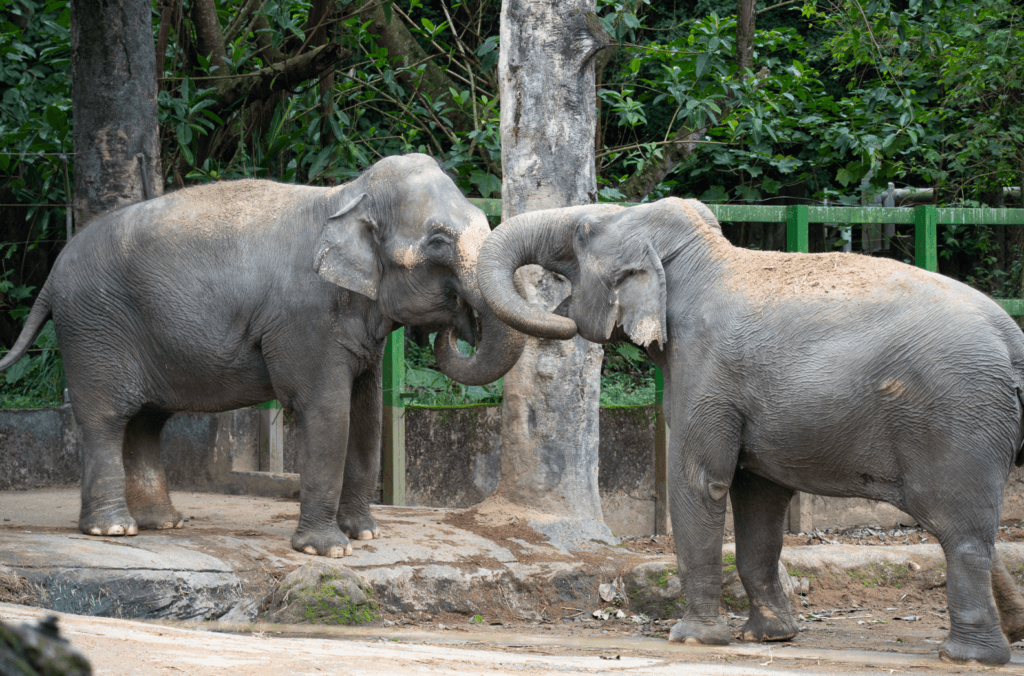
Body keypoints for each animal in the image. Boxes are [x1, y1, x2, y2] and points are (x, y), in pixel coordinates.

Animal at [0, 153, 524, 558]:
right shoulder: (304, 320)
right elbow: (328, 412)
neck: (344, 197)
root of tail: (50, 276)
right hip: (94, 331)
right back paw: (114, 529)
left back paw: (163, 523)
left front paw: (365, 535)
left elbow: (367, 413)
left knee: (147, 421)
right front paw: (327, 550)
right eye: (438, 241)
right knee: (107, 419)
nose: (459, 324)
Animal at [475, 197, 1024, 664]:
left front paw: (691, 638)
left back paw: (967, 656)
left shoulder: (705, 371)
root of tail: (1011, 337)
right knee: (963, 525)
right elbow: (759, 498)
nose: (558, 321)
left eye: (583, 233)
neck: (702, 258)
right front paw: (770, 636)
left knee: (955, 526)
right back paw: (1009, 631)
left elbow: (700, 482)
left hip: (956, 416)